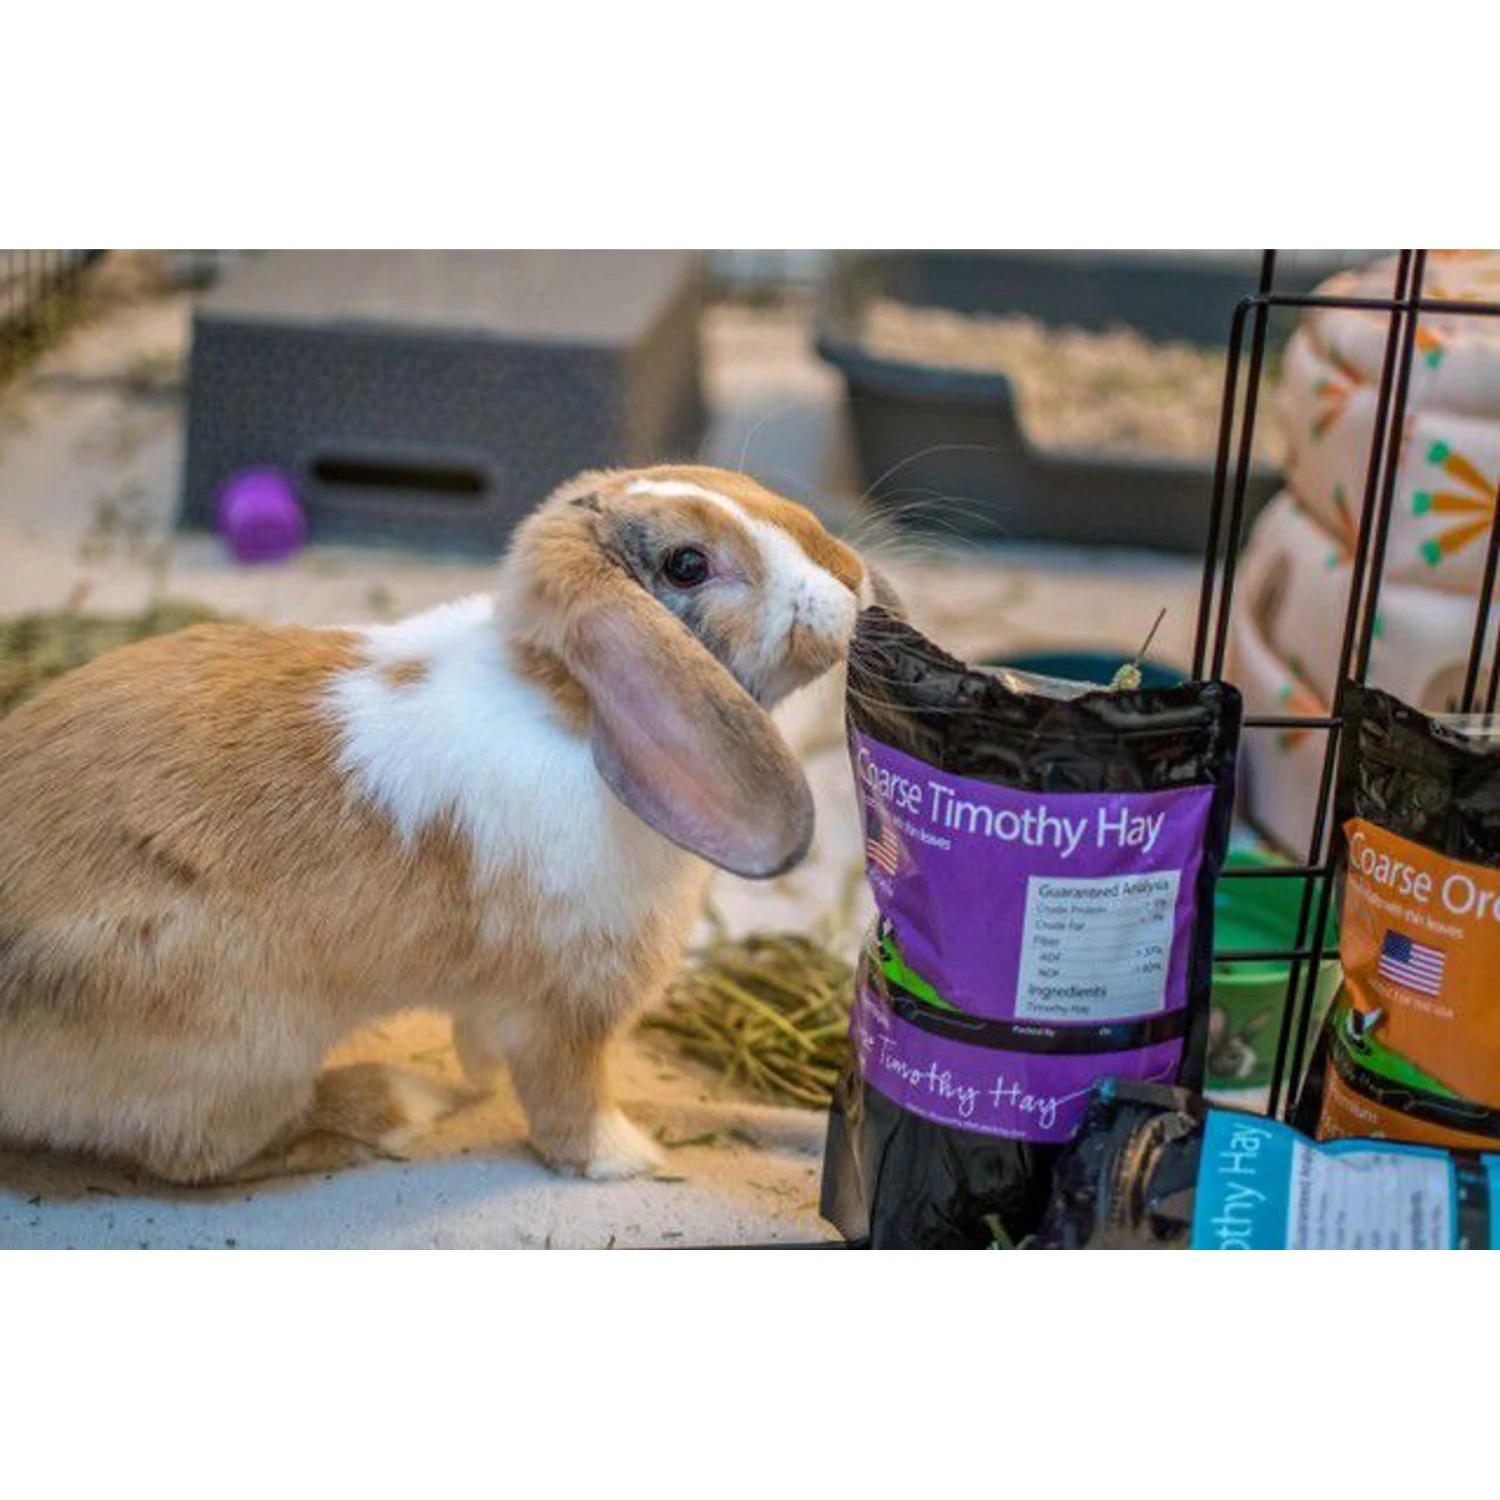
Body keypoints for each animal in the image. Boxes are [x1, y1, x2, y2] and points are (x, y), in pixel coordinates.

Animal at [0, 464, 895, 1185]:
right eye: (688, 565)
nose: (854, 580)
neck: (574, 707)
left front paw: (480, 1070)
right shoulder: (567, 1008)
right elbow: (569, 1099)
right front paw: (626, 1159)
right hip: (247, 1042)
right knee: (201, 1158)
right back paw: (393, 1106)